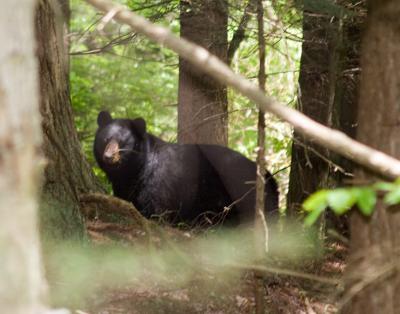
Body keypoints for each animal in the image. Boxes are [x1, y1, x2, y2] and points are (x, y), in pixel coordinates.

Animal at [94, 110, 278, 226]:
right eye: (105, 139)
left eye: (122, 142)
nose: (108, 156)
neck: (134, 170)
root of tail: (270, 178)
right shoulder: (125, 186)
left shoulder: (158, 182)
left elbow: (156, 209)